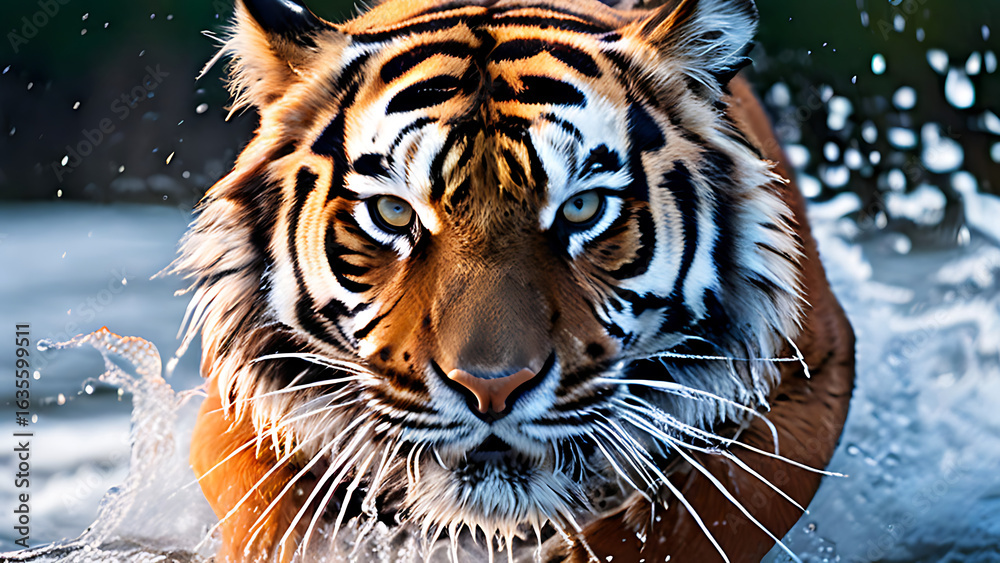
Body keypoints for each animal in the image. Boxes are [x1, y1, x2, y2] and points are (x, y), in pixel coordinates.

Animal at [172, 0, 855, 560]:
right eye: (393, 212)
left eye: (582, 208)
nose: (491, 389)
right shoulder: (245, 409)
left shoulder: (810, 375)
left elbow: (689, 525)